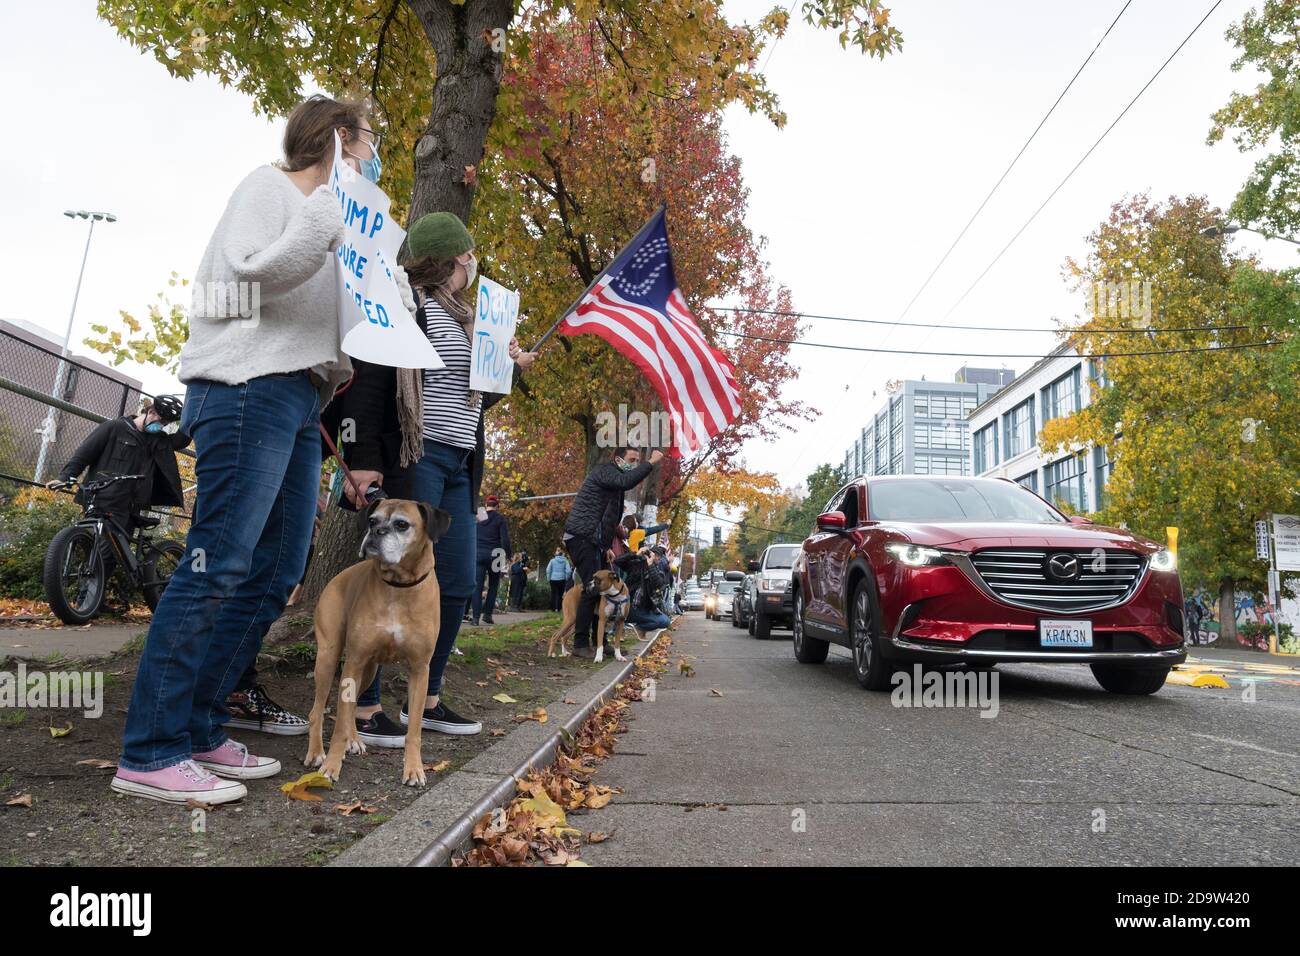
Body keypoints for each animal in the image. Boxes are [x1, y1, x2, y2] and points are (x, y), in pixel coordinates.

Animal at [304, 496, 452, 790]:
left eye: (402, 524)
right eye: (373, 520)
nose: (375, 532)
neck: (398, 587)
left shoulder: (420, 671)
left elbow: (414, 730)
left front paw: (414, 769)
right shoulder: (353, 662)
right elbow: (337, 726)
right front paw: (331, 766)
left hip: (369, 670)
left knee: (351, 709)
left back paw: (354, 740)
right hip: (329, 659)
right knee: (318, 710)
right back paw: (317, 752)